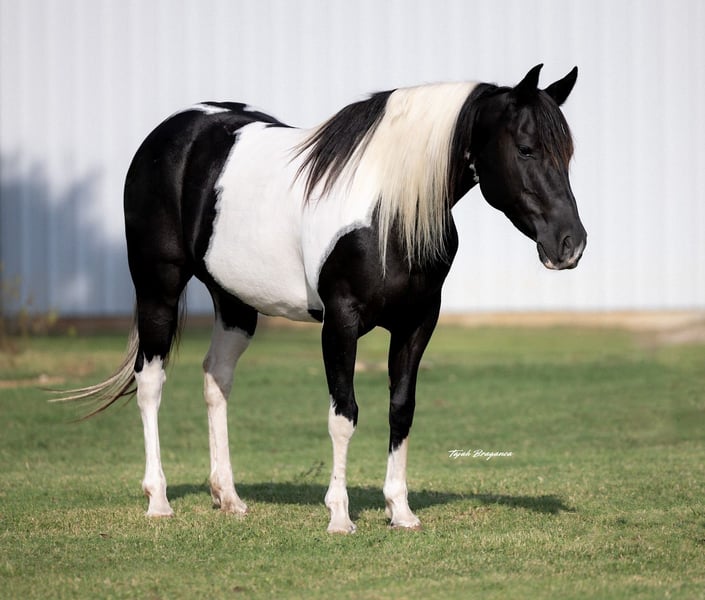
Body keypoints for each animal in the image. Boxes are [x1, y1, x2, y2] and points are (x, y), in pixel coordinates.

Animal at [60, 64, 586, 533]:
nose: (571, 244)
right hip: (158, 287)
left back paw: (228, 497)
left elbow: (402, 409)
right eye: (525, 148)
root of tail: (171, 132)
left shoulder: (417, 322)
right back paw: (159, 500)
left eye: (567, 152)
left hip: (234, 301)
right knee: (150, 381)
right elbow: (344, 415)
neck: (386, 210)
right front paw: (339, 515)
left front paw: (400, 512)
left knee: (216, 378)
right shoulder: (341, 322)